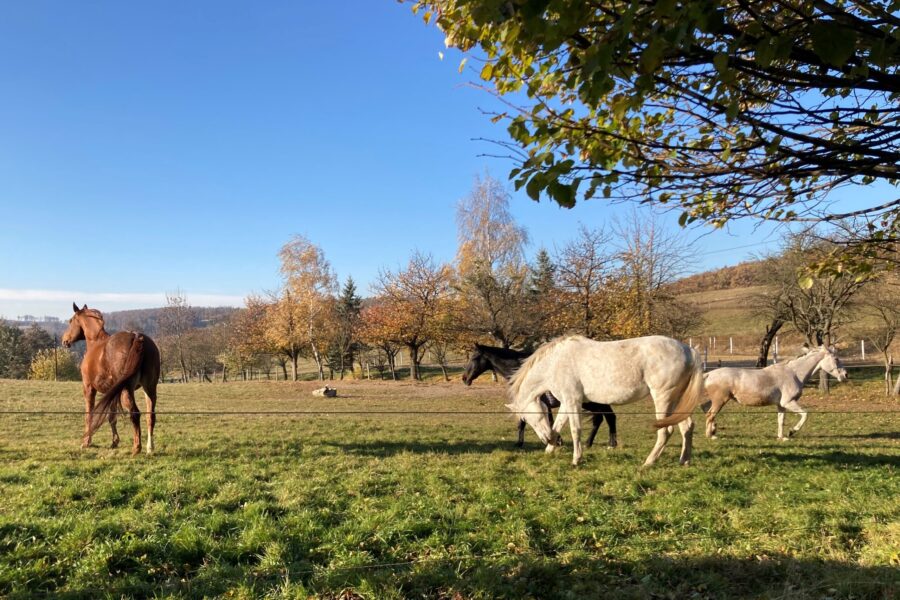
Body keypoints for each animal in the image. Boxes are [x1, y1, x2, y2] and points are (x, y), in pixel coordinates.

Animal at [62, 302, 161, 452]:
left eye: (71, 321)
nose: (65, 340)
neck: (96, 342)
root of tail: (136, 337)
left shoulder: (89, 388)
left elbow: (89, 414)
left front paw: (86, 442)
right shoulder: (112, 391)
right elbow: (112, 417)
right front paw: (114, 442)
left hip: (127, 391)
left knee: (135, 413)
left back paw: (136, 448)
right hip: (149, 388)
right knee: (150, 416)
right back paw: (150, 448)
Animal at [506, 336, 704, 466]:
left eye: (527, 418)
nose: (545, 438)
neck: (555, 363)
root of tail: (689, 350)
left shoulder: (573, 401)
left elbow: (575, 430)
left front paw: (576, 459)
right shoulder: (567, 402)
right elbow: (558, 426)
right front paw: (550, 449)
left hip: (663, 398)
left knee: (666, 431)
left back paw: (648, 462)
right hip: (676, 401)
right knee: (687, 427)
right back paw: (684, 460)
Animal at [708, 342, 848, 440]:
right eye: (836, 359)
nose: (845, 375)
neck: (794, 374)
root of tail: (709, 374)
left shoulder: (781, 405)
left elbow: (781, 420)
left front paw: (782, 437)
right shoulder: (789, 402)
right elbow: (805, 414)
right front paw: (791, 432)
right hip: (720, 400)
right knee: (710, 414)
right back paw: (711, 435)